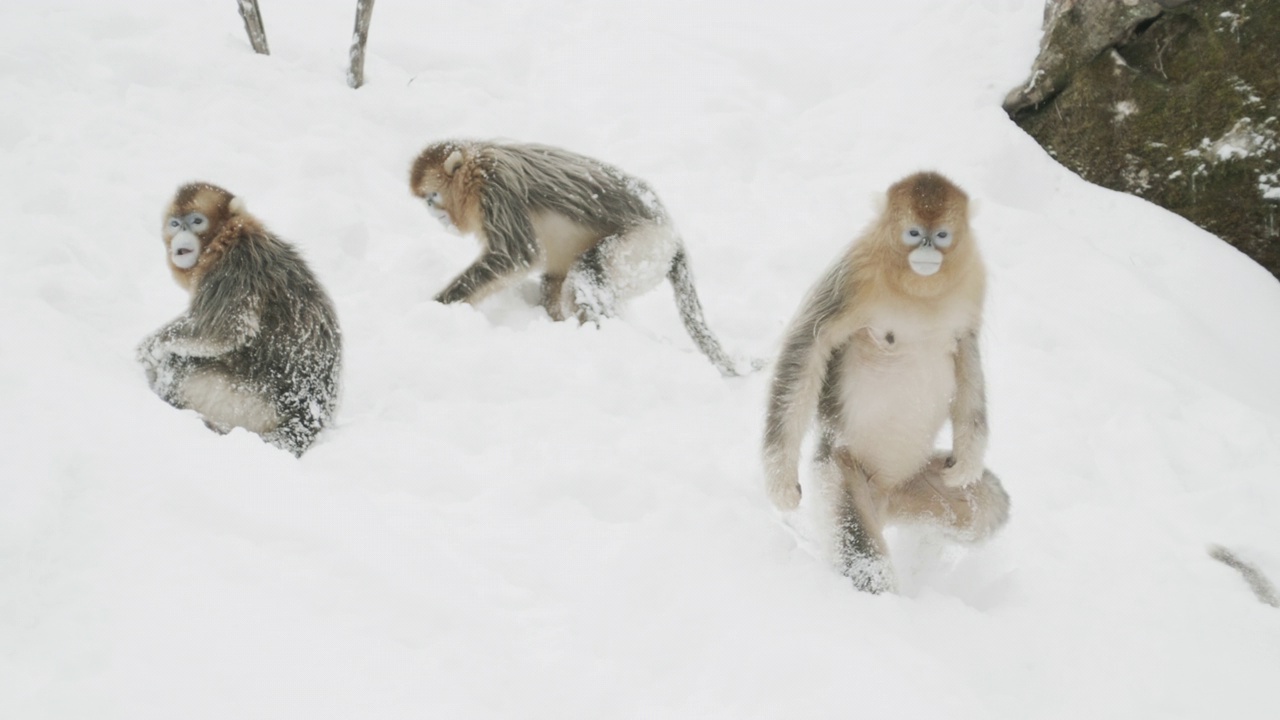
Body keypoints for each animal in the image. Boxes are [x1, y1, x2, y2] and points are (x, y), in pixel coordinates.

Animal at [138, 181, 343, 450]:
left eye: (196, 221)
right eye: (174, 223)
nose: (181, 232)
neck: (227, 238)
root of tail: (307, 417)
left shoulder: (236, 269)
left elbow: (225, 331)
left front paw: (150, 347)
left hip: (246, 399)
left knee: (180, 359)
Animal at [409, 139, 747, 376]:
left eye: (433, 198)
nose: (435, 215)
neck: (477, 171)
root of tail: (674, 239)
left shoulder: (498, 190)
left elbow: (518, 256)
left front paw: (438, 308)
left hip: (644, 247)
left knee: (586, 275)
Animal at [762, 172, 1003, 589]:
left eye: (942, 235)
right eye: (912, 233)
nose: (927, 247)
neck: (921, 292)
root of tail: (887, 501)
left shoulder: (973, 285)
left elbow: (967, 355)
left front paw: (968, 461)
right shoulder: (854, 273)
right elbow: (808, 347)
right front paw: (780, 483)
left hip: (920, 486)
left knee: (989, 505)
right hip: (842, 476)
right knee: (864, 561)